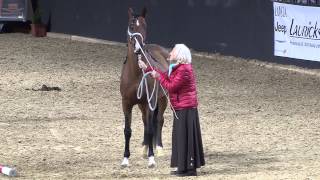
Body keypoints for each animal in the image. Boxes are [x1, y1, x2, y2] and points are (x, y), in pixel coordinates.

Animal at [120, 7, 170, 167]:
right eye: (131, 25)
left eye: (144, 26)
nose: (138, 48)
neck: (136, 74)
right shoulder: (126, 104)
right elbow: (128, 131)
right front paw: (125, 159)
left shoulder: (150, 102)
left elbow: (150, 129)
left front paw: (152, 158)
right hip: (142, 105)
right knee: (145, 122)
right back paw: (144, 147)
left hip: (162, 99)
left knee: (158, 121)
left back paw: (158, 148)